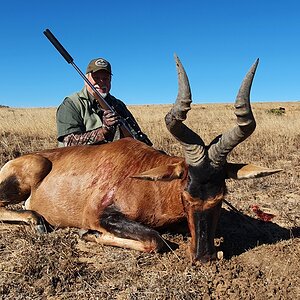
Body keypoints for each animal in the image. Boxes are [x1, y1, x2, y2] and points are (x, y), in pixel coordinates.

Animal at [0, 56, 282, 262]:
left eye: (221, 196)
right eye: (185, 194)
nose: (204, 257)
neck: (149, 184)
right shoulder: (100, 214)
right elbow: (155, 239)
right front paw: (87, 234)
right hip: (32, 171)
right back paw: (37, 222)